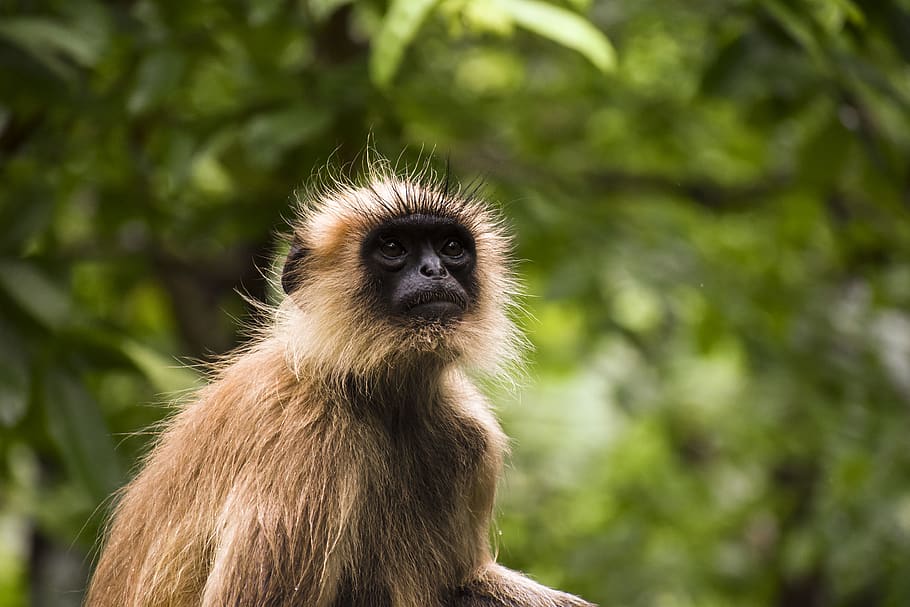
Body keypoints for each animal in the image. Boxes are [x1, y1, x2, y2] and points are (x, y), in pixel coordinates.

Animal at [85, 162, 595, 607]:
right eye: (393, 248)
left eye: (451, 247)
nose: (435, 271)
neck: (377, 396)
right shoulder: (305, 432)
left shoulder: (470, 436)